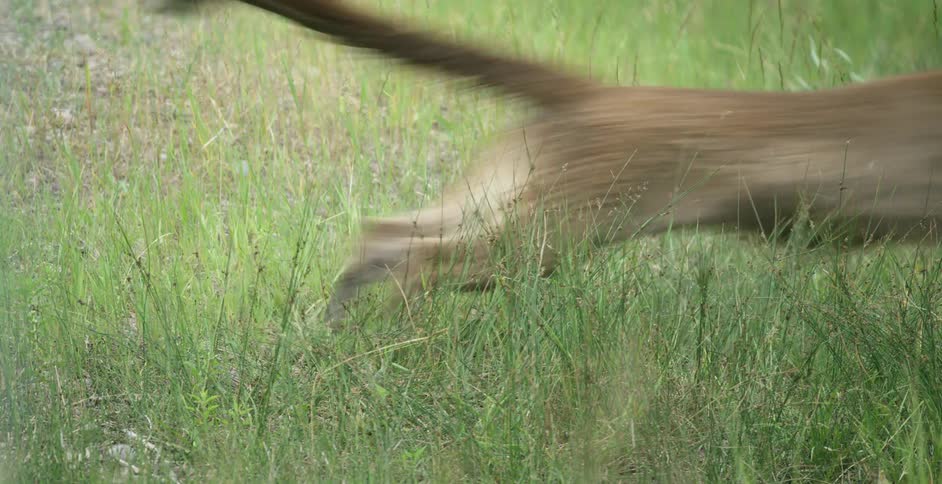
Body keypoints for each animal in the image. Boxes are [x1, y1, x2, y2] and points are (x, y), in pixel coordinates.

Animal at [162, 0, 942, 325]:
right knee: (422, 258)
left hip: (511, 191)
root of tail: (599, 90)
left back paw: (336, 331)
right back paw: (400, 339)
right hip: (559, 228)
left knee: (386, 230)